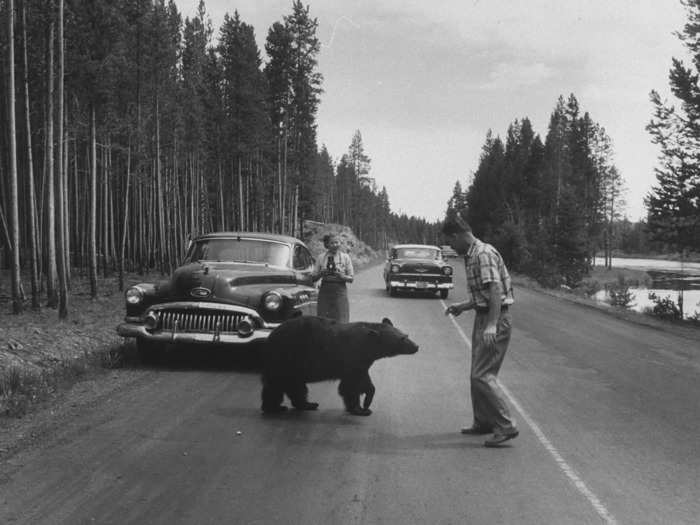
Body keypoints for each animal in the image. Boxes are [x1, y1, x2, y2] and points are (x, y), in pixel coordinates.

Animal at [262, 316, 416, 414]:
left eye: (407, 335)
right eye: (402, 339)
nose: (416, 347)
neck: (366, 346)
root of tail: (271, 335)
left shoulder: (362, 363)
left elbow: (365, 382)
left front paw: (367, 402)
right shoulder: (351, 358)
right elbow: (350, 386)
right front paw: (359, 409)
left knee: (296, 387)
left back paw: (307, 404)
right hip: (286, 359)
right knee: (276, 386)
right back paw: (274, 408)